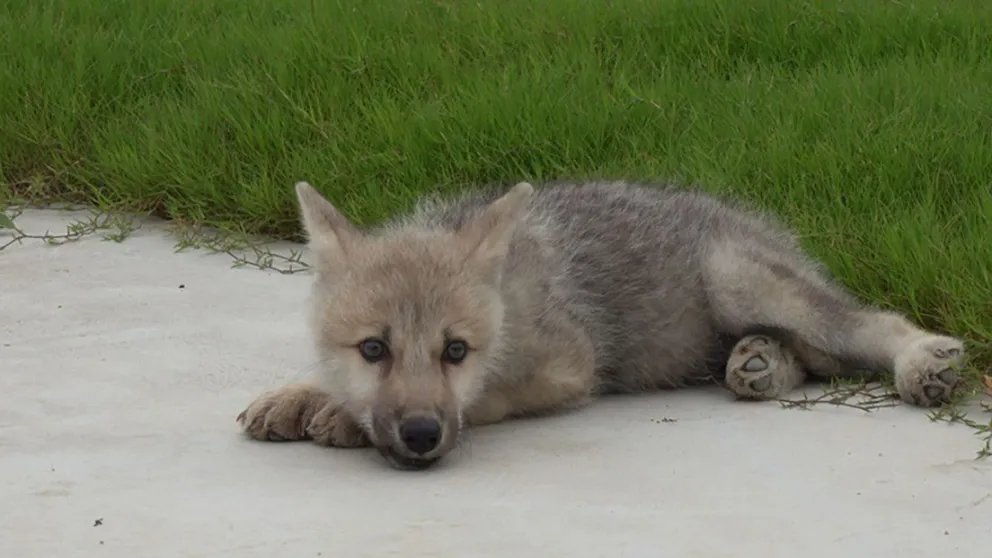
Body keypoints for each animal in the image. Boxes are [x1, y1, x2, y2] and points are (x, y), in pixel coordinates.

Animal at [237, 180, 966, 471]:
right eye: (373, 348)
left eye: (456, 352)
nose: (420, 437)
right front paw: (305, 394)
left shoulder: (568, 369)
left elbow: (486, 399)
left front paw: (339, 414)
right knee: (813, 358)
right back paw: (760, 362)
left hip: (739, 280)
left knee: (865, 325)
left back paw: (921, 360)